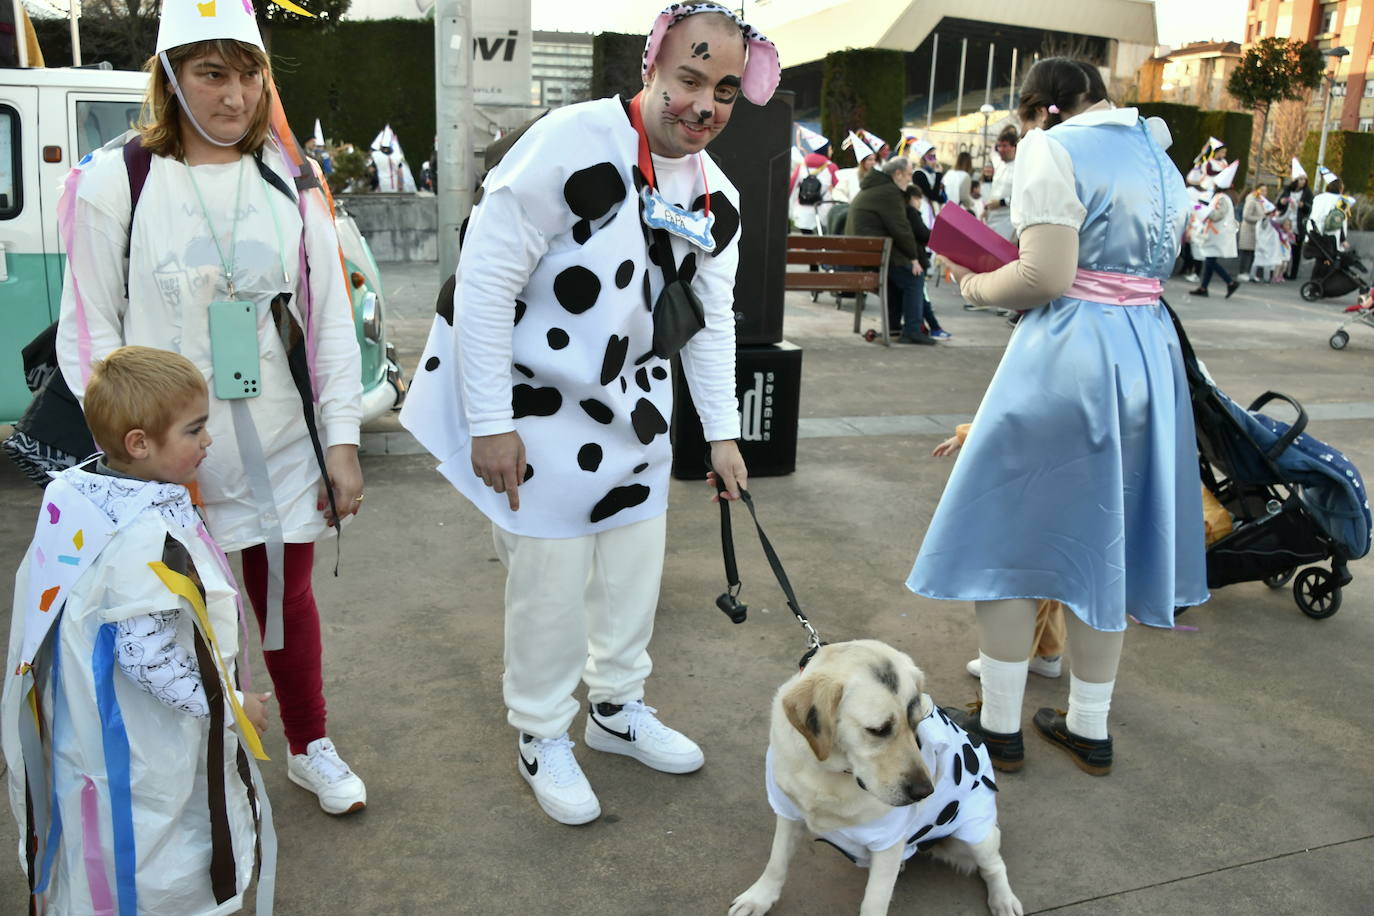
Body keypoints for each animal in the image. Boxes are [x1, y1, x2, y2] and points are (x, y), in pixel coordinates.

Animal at [730, 642, 1022, 911]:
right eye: (878, 730)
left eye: (917, 722)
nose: (925, 792)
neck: (831, 774)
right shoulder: (788, 811)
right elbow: (776, 861)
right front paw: (758, 898)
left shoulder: (888, 843)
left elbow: (874, 902)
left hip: (975, 834)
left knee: (995, 866)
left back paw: (1004, 900)